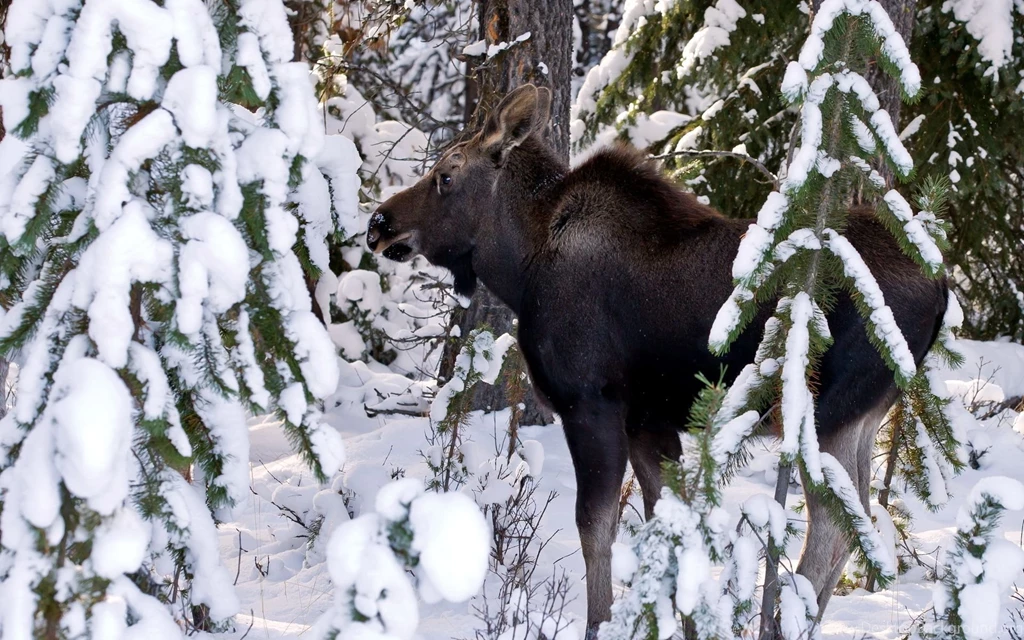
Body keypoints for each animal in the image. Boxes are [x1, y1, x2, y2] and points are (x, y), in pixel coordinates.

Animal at [366, 85, 947, 636]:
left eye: (446, 174)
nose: (378, 223)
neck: (520, 269)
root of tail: (942, 288)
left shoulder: (591, 406)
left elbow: (596, 527)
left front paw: (600, 623)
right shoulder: (650, 423)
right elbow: (667, 529)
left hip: (825, 410)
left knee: (832, 527)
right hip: (864, 413)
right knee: (862, 521)